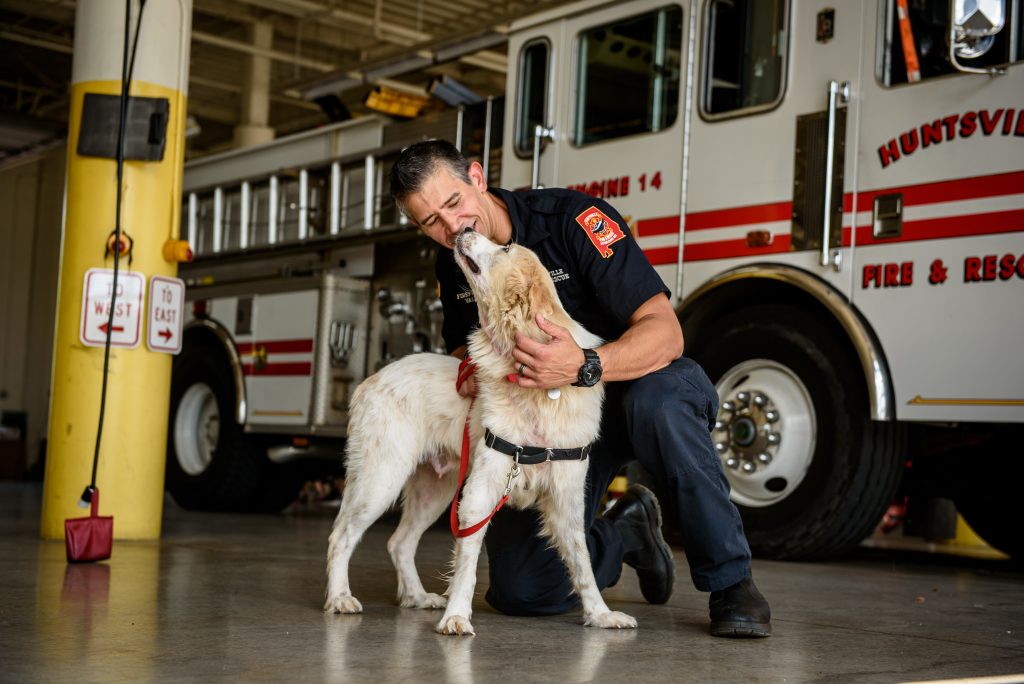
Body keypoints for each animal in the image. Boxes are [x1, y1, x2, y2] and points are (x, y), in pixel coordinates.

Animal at [323, 229, 634, 634]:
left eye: (505, 247)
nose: (465, 230)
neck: (537, 393)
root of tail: (373, 379)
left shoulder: (566, 498)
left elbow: (582, 563)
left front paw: (600, 613)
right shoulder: (480, 493)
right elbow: (467, 566)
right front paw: (456, 616)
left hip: (434, 489)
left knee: (399, 542)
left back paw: (416, 596)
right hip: (381, 479)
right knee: (341, 536)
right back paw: (339, 597)